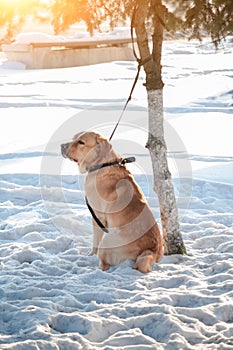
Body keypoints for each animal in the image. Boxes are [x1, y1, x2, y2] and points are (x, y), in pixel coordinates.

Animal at [61, 132, 163, 274]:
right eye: (74, 138)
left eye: (81, 142)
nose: (61, 146)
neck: (104, 164)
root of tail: (151, 251)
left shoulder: (98, 216)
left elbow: (95, 241)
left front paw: (90, 255)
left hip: (107, 241)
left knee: (104, 265)